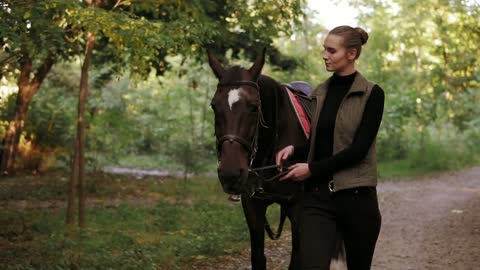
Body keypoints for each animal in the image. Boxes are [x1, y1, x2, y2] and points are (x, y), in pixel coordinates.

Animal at [207, 49, 312, 270]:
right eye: (214, 106)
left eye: (254, 107)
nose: (230, 173)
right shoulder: (252, 207)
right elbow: (257, 257)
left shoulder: (298, 208)